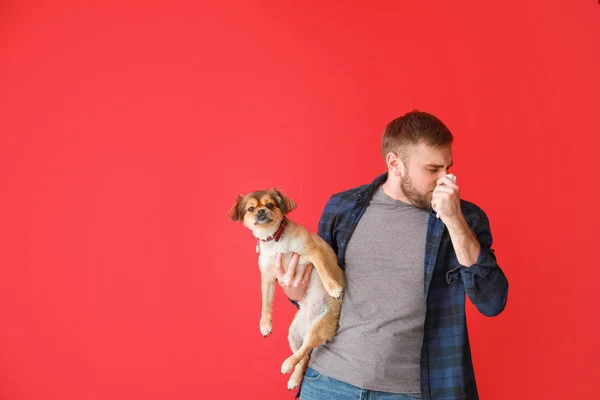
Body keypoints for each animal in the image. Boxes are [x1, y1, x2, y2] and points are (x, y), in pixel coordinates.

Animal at [227, 188, 344, 390]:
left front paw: (333, 288)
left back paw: (287, 365)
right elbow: (266, 301)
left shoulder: (312, 253)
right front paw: (265, 324)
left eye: (270, 205)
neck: (274, 242)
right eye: (251, 209)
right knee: (303, 355)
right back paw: (294, 378)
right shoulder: (267, 276)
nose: (261, 211)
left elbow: (324, 271)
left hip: (318, 327)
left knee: (305, 349)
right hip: (293, 335)